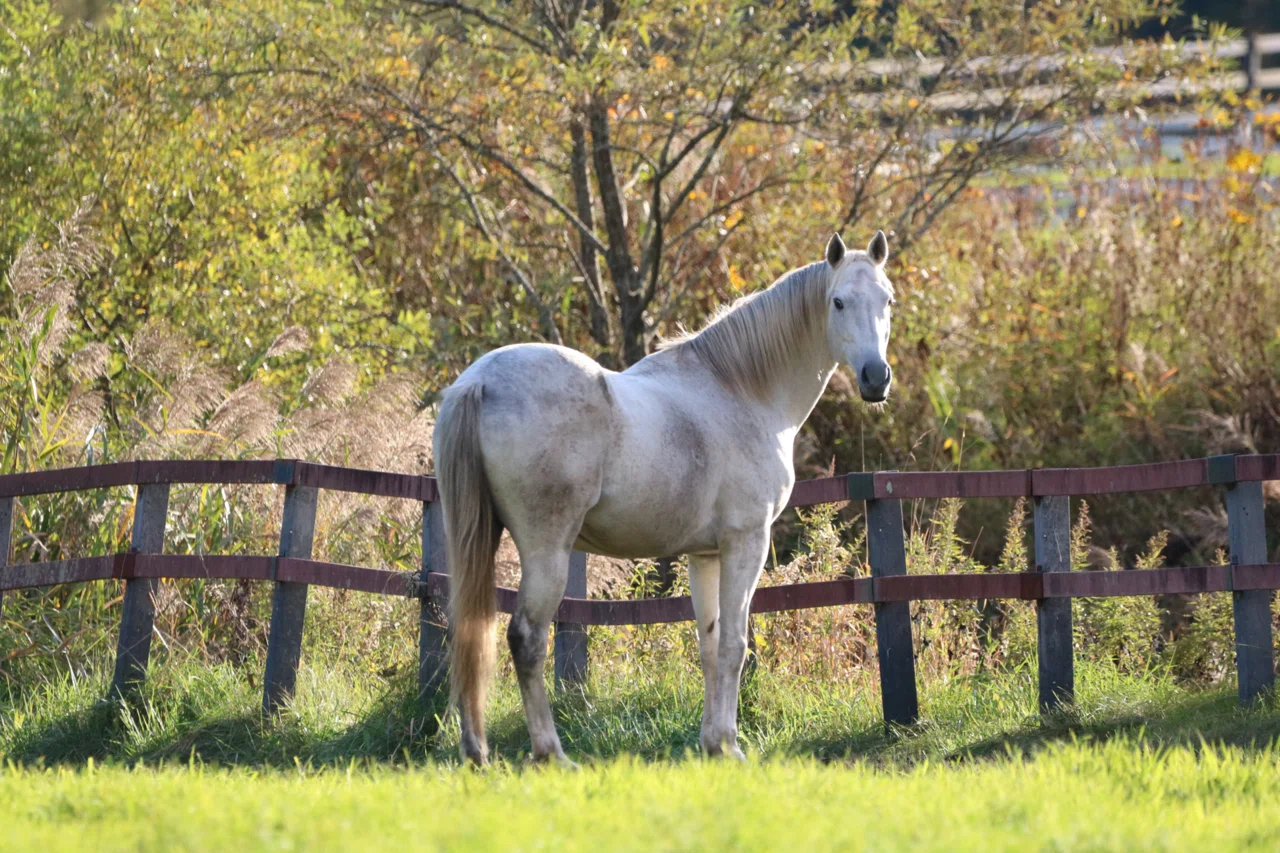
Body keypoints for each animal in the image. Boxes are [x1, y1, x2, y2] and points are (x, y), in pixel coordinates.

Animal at [434, 230, 895, 765]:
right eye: (838, 302)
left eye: (888, 300)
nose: (875, 377)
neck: (742, 390)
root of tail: (479, 382)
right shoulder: (746, 543)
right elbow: (735, 645)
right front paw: (732, 747)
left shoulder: (705, 555)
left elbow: (710, 645)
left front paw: (714, 744)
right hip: (546, 550)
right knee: (526, 638)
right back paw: (552, 754)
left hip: (479, 536)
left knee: (469, 630)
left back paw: (476, 753)